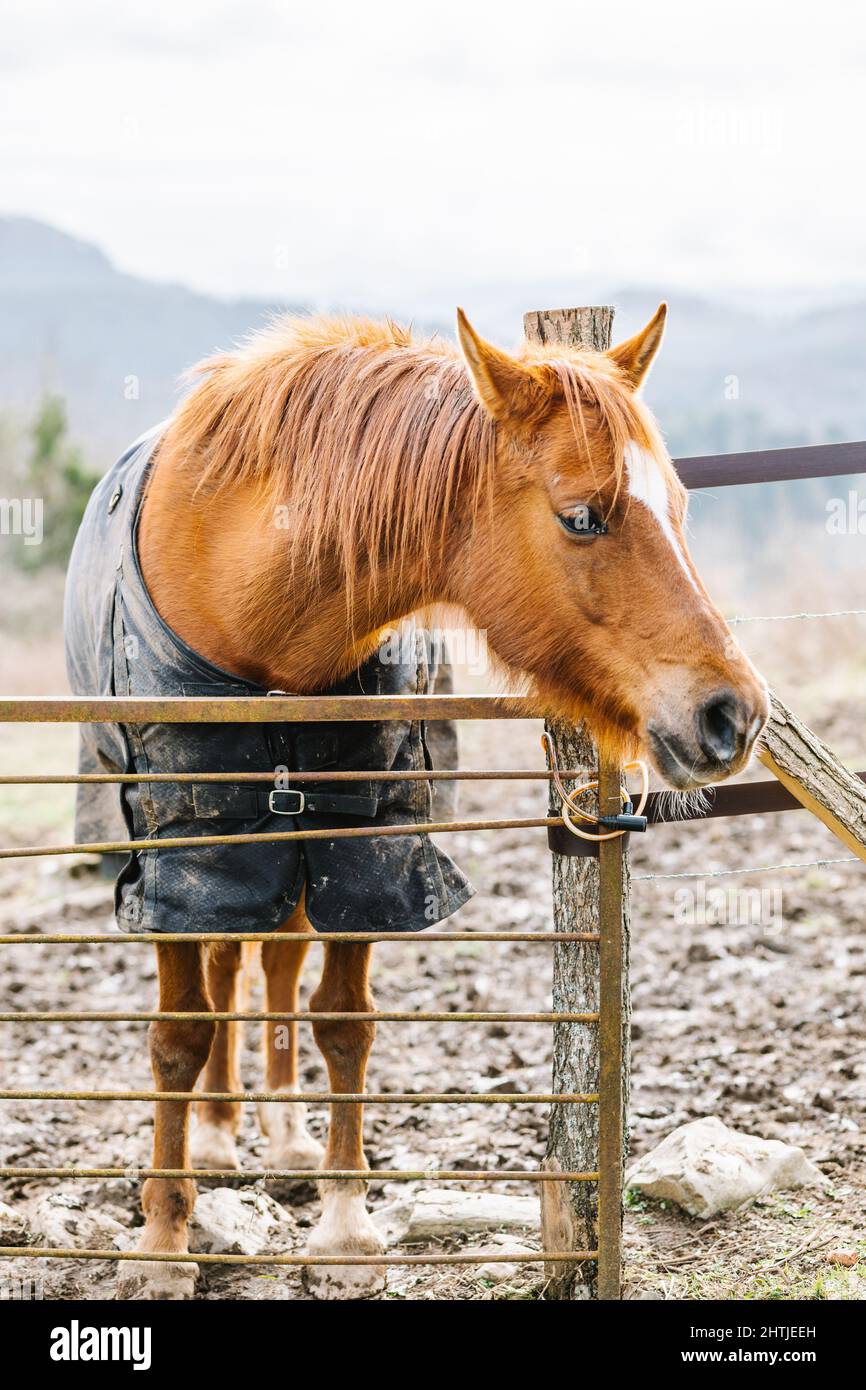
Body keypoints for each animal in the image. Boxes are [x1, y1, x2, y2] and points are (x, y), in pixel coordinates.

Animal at [66, 298, 772, 1295]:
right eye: (583, 517)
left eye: (677, 507)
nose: (732, 716)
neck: (250, 599)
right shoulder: (177, 852)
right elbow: (179, 1035)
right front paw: (162, 1243)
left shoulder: (369, 841)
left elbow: (344, 1023)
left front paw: (344, 1229)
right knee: (228, 968)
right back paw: (216, 1135)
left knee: (272, 961)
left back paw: (280, 1136)